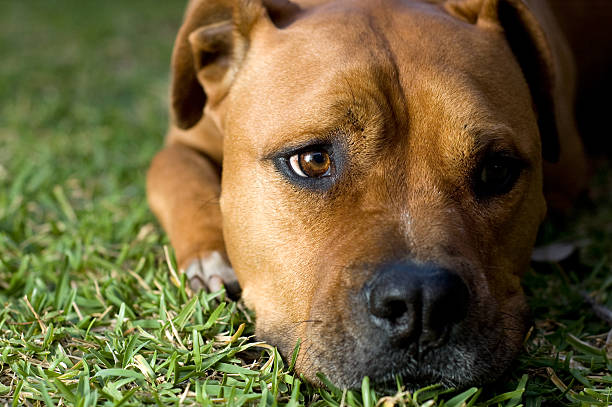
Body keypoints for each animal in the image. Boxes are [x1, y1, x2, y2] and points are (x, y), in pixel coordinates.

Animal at [147, 0, 608, 390]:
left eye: (497, 170)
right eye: (313, 160)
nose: (424, 302)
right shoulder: (181, 142)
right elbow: (171, 172)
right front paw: (210, 258)